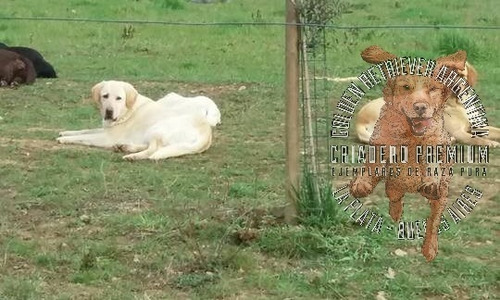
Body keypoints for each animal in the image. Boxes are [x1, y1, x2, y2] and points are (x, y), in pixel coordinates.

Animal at [350, 45, 466, 262]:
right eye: (406, 87)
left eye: (433, 89)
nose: (420, 107)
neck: (410, 136)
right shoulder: (382, 140)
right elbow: (373, 162)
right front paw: (361, 184)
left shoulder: (434, 143)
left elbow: (432, 161)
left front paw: (430, 181)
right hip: (393, 185)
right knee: (394, 197)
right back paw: (395, 213)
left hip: (441, 196)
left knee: (434, 219)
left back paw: (430, 248)